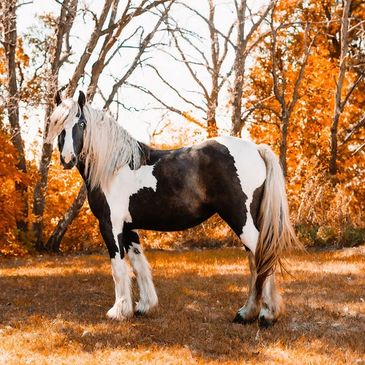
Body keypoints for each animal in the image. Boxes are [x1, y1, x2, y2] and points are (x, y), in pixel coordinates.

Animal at [47, 91, 298, 328]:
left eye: (81, 123)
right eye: (57, 123)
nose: (67, 159)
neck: (115, 168)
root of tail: (256, 149)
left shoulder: (111, 225)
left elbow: (118, 268)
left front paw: (118, 311)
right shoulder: (129, 228)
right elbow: (139, 265)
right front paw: (144, 306)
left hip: (241, 219)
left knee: (262, 258)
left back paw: (266, 315)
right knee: (256, 261)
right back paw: (247, 314)